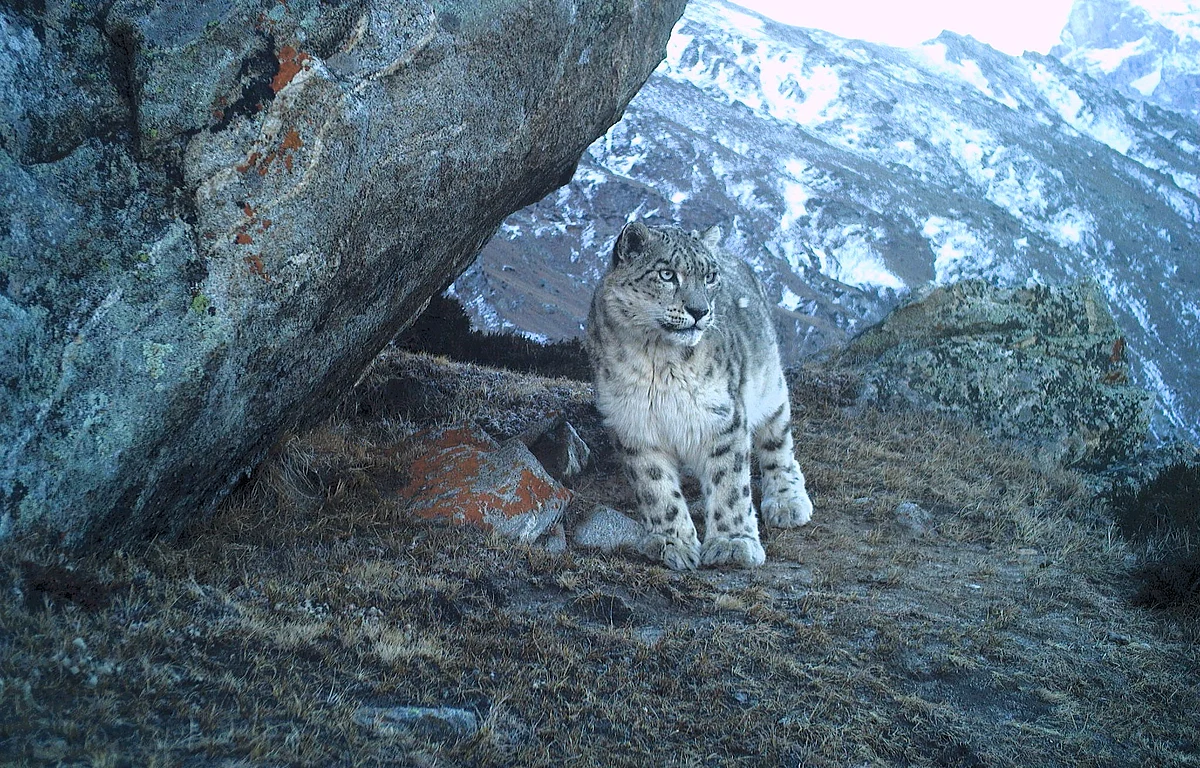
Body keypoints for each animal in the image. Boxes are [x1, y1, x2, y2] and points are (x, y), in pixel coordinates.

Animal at [584, 221, 813, 570]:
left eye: (710, 276)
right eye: (667, 274)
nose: (699, 310)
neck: (659, 363)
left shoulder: (722, 418)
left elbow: (730, 484)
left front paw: (733, 544)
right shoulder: (634, 423)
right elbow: (656, 488)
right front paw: (673, 542)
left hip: (770, 387)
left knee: (779, 443)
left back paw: (787, 501)